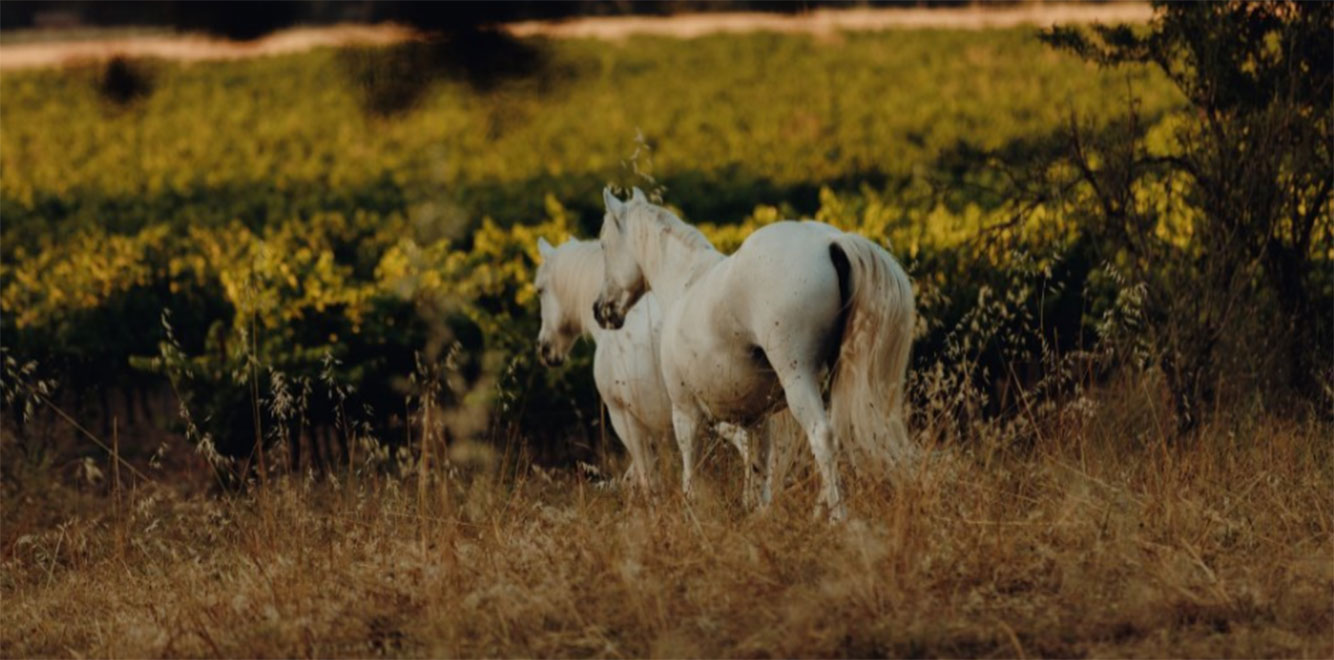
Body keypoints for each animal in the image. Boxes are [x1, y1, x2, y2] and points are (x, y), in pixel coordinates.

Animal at [592, 188, 916, 520]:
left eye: (603, 244)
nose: (601, 310)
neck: (686, 283)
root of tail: (831, 241)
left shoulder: (685, 413)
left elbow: (690, 472)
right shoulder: (758, 419)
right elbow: (759, 470)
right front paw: (759, 512)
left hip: (798, 379)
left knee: (822, 436)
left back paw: (838, 518)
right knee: (834, 437)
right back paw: (819, 513)